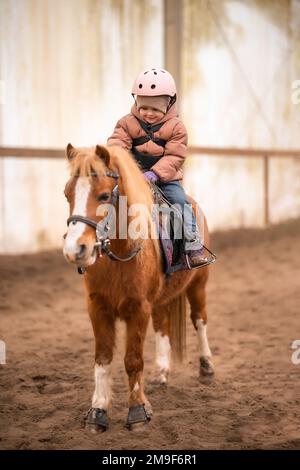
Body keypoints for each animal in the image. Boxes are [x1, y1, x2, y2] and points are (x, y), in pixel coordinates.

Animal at [62, 144, 213, 434]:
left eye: (104, 195)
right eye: (67, 194)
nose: (75, 250)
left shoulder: (138, 308)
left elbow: (132, 360)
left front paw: (138, 412)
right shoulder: (97, 308)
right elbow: (103, 359)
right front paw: (97, 412)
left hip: (199, 284)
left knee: (199, 320)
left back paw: (207, 366)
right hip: (161, 299)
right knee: (162, 326)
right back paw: (162, 373)